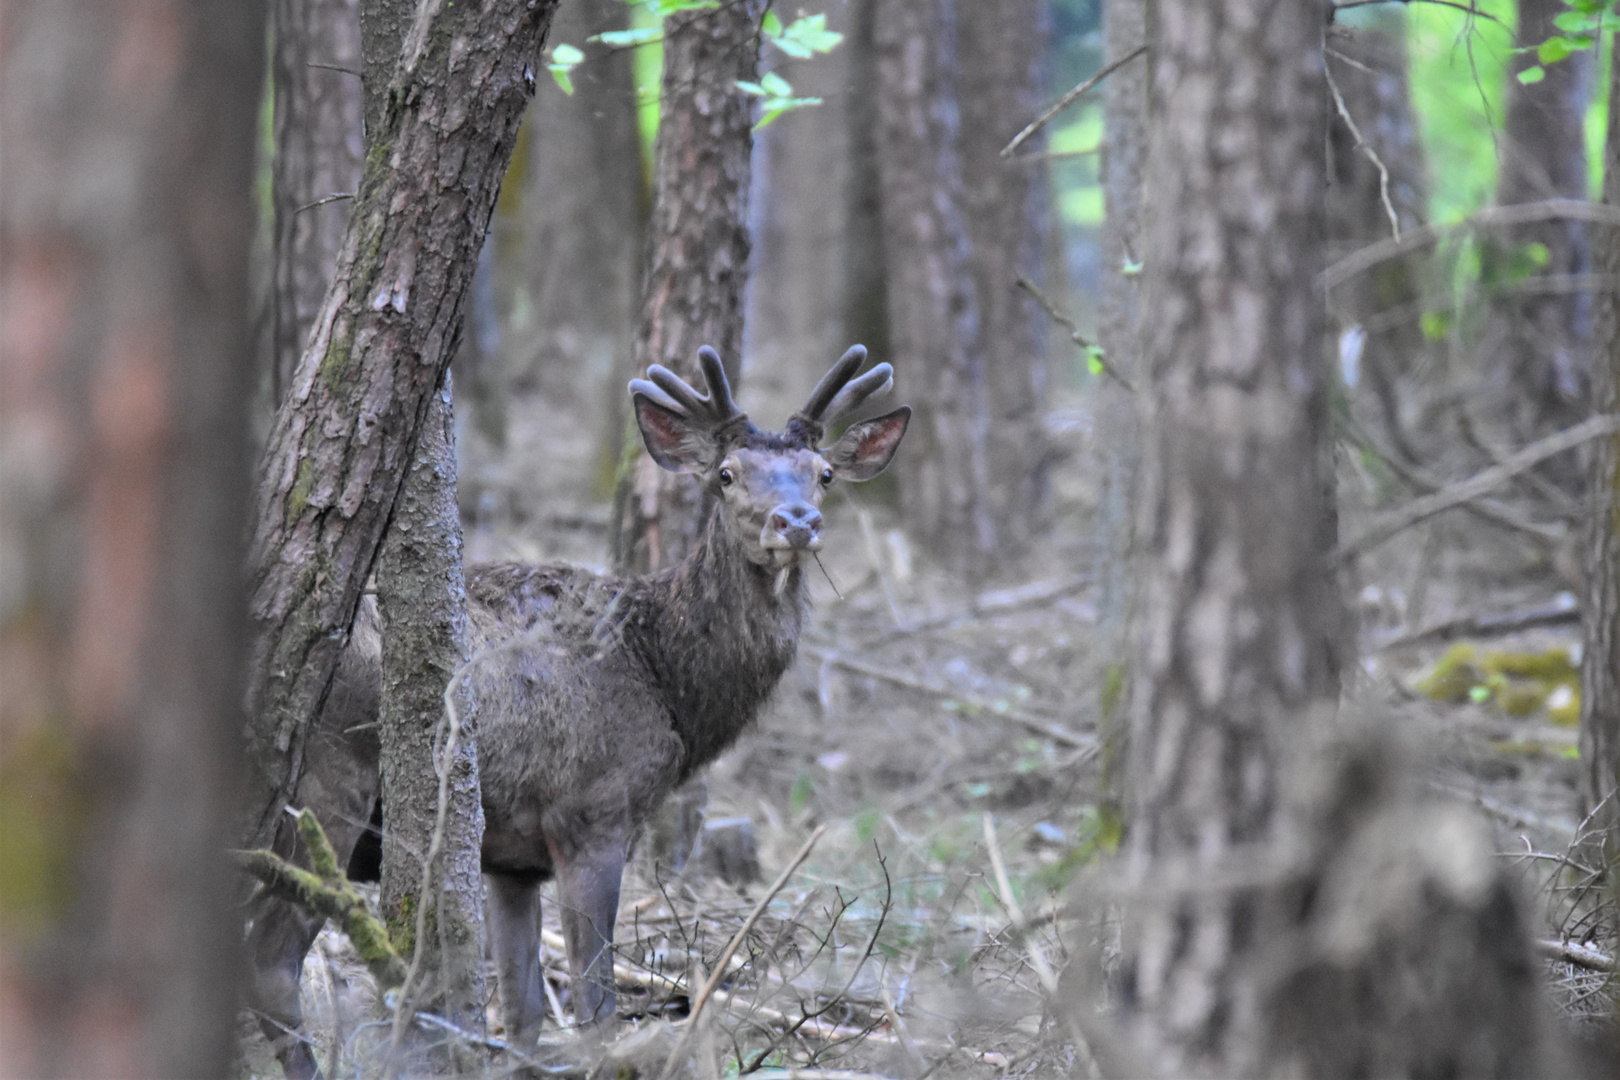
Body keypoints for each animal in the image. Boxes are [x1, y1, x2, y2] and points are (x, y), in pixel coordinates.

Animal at [252, 344, 913, 1075]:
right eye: (726, 474)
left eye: (823, 474)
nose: (796, 522)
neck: (671, 688)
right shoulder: (591, 814)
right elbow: (597, 1010)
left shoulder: (511, 859)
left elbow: (524, 1015)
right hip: (328, 780)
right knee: (273, 964)